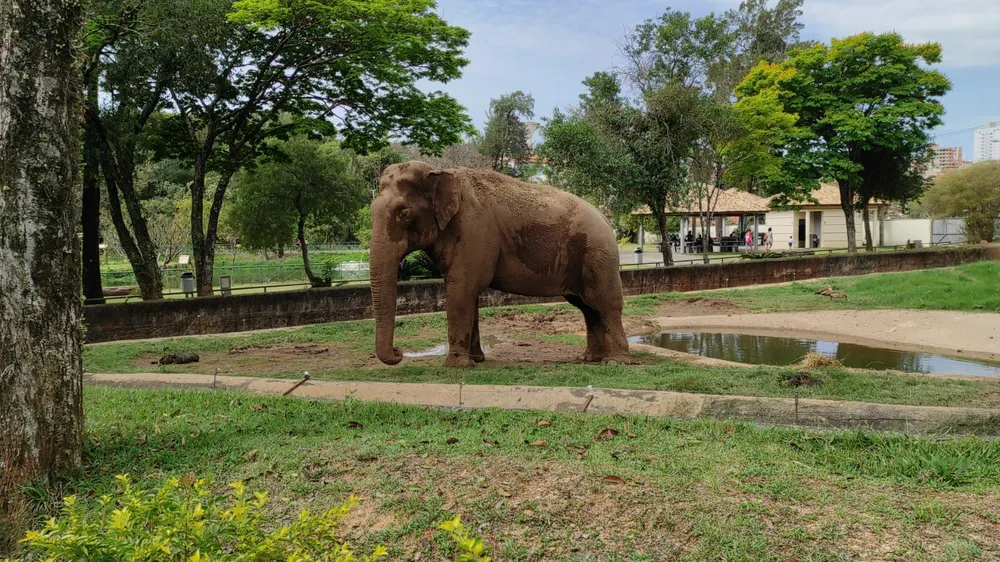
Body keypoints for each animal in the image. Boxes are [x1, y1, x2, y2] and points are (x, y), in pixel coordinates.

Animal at [370, 161, 630, 368]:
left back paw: (615, 361)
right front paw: (476, 360)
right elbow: (469, 295)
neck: (440, 171)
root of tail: (606, 218)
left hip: (597, 256)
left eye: (403, 213)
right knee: (587, 307)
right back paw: (589, 358)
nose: (399, 352)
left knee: (605, 304)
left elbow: (461, 289)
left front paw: (456, 366)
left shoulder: (474, 230)